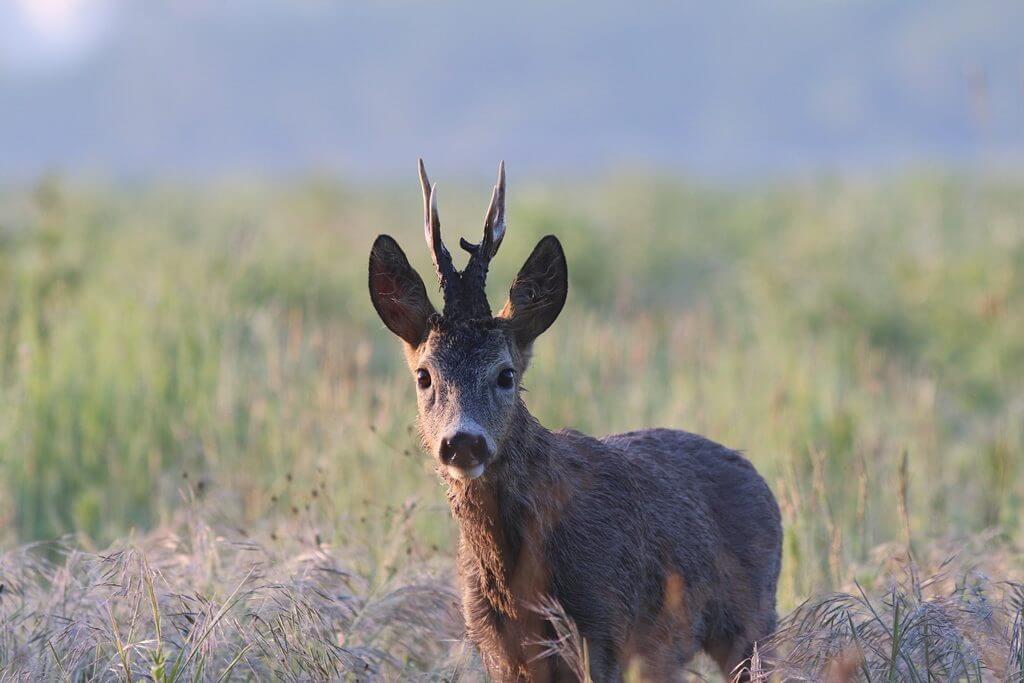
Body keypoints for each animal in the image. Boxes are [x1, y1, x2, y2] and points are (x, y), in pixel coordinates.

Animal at [370, 158, 782, 679]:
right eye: (424, 375)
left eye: (505, 374)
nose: (463, 441)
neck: (517, 580)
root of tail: (762, 483)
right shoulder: (491, 641)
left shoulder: (604, 623)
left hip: (752, 619)